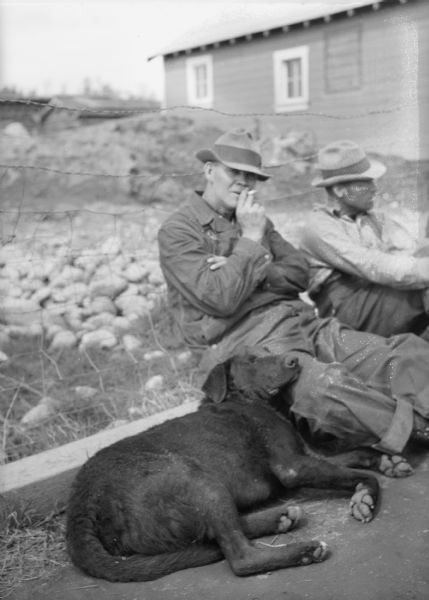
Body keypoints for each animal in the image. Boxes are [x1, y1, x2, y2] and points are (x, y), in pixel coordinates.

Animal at [66, 346, 412, 580]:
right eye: (251, 361)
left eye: (268, 352)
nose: (294, 361)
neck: (248, 400)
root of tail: (81, 504)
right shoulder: (293, 467)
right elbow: (360, 474)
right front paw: (365, 496)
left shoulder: (310, 455)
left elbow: (359, 451)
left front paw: (388, 461)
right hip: (195, 479)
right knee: (241, 558)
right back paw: (302, 551)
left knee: (223, 532)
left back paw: (279, 518)